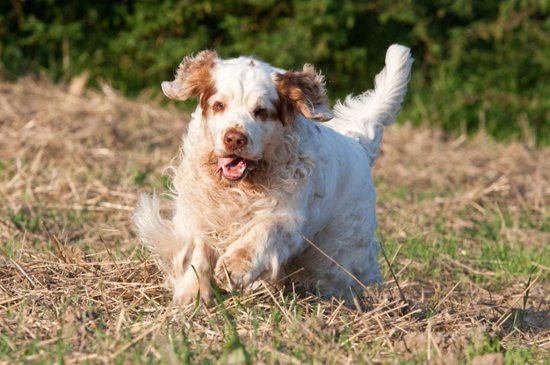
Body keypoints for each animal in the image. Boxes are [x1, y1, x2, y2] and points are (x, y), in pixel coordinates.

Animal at [135, 44, 414, 302]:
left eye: (261, 111)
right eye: (219, 105)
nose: (234, 138)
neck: (241, 187)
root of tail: (358, 143)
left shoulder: (287, 218)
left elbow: (264, 232)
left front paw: (234, 268)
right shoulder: (202, 212)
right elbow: (198, 251)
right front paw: (193, 293)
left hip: (338, 251)